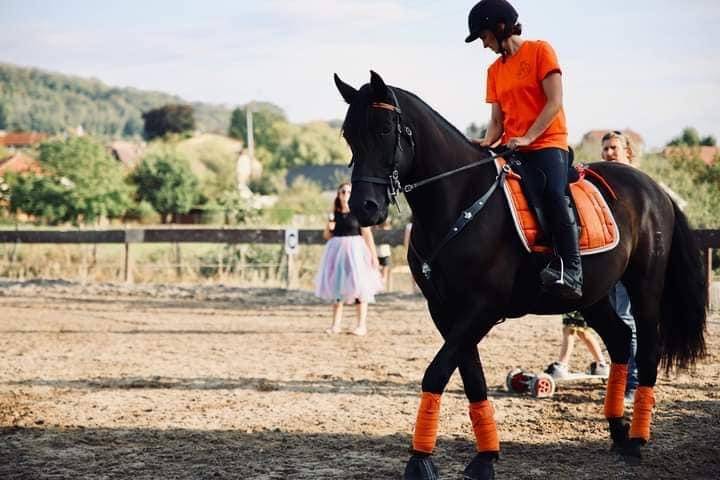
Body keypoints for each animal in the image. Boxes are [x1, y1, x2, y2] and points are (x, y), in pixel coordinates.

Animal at [333, 71, 707, 480]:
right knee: (622, 340)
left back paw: (637, 438)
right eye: (349, 134)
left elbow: (437, 372)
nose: (364, 207)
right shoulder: (445, 311)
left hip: (644, 285)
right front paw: (484, 458)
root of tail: (653, 187)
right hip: (591, 295)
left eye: (385, 129)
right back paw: (618, 432)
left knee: (647, 348)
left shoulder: (481, 308)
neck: (461, 201)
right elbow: (471, 378)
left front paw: (420, 461)